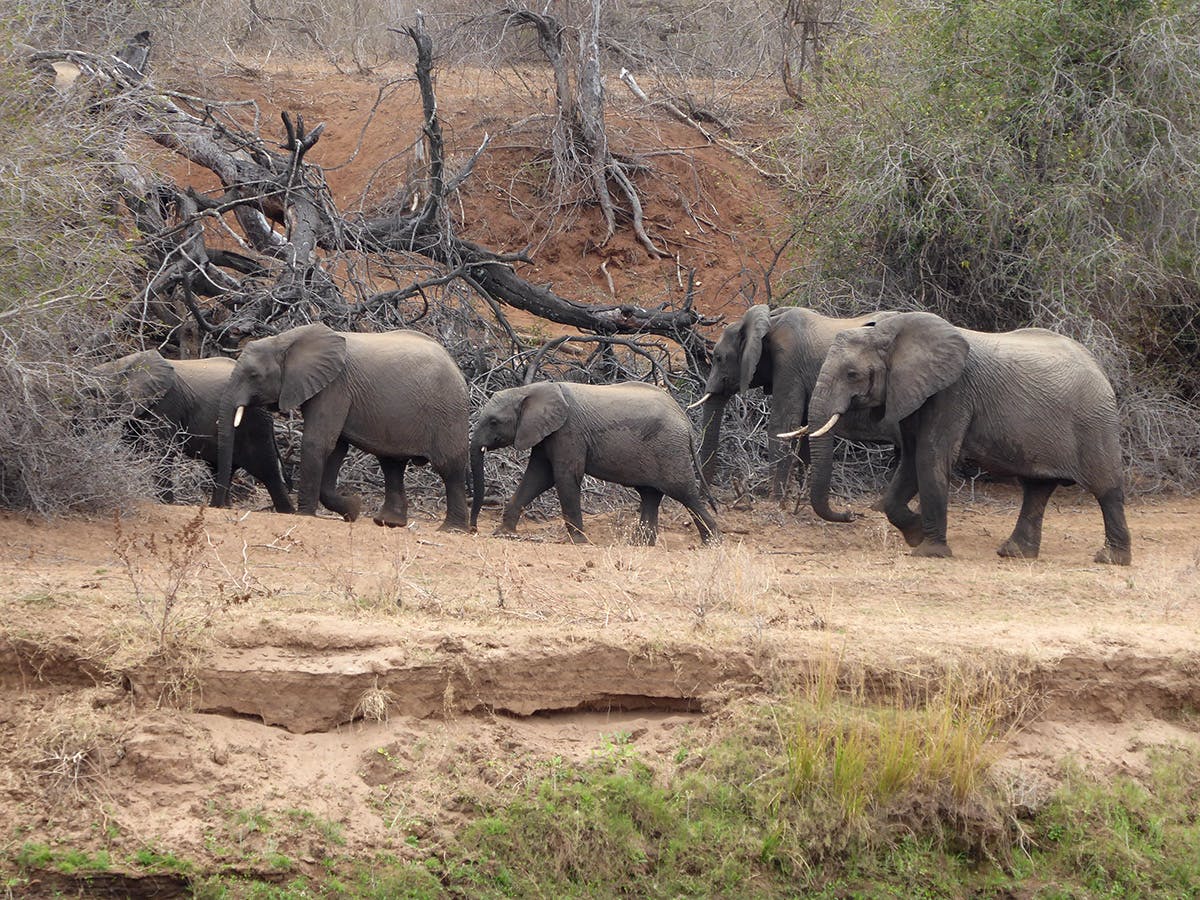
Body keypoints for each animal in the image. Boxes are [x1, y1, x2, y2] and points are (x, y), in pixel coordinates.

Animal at [92, 350, 293, 511]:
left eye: (93, 394)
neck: (121, 364)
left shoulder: (167, 402)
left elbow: (161, 450)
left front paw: (167, 504)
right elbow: (133, 446)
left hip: (255, 421)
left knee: (266, 469)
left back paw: (287, 512)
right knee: (221, 467)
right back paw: (221, 507)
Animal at [215, 323, 470, 530]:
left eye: (253, 375)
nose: (220, 507)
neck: (285, 339)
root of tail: (456, 366)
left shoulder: (334, 386)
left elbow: (317, 442)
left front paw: (305, 515)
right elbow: (336, 449)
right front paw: (353, 509)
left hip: (448, 412)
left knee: (449, 466)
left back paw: (451, 529)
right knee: (391, 464)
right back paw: (388, 523)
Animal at [470, 381, 719, 545]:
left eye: (494, 422)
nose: (473, 530)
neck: (530, 389)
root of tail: (686, 422)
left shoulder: (568, 431)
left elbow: (564, 477)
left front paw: (580, 541)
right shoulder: (546, 433)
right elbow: (538, 477)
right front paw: (502, 533)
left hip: (669, 449)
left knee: (684, 492)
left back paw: (712, 542)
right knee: (650, 494)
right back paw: (639, 544)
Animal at [693, 304, 900, 499]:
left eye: (718, 358)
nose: (706, 497)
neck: (770, 322)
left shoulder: (789, 363)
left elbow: (782, 425)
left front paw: (774, 499)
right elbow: (804, 429)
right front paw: (801, 493)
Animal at [787, 311, 1132, 565]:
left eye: (852, 375)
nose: (849, 514)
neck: (891, 335)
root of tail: (1100, 367)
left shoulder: (952, 392)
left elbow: (930, 457)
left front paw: (929, 552)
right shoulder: (915, 393)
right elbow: (911, 460)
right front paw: (916, 534)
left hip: (1093, 422)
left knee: (1106, 488)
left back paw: (1110, 559)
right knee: (1037, 488)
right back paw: (1014, 553)